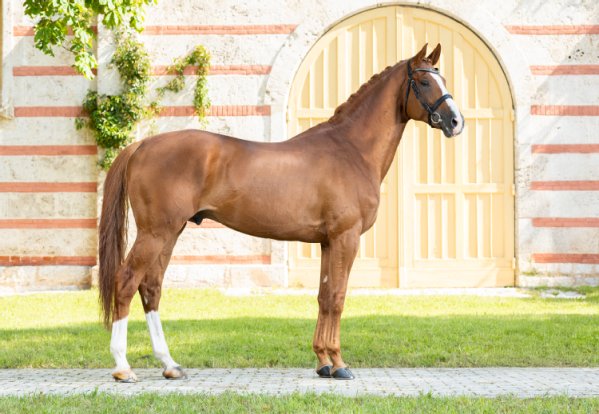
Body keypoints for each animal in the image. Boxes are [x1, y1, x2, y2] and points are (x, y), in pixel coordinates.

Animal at [98, 43, 464, 384]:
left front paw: (323, 362)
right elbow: (338, 297)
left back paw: (170, 364)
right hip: (156, 232)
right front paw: (340, 365)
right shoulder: (345, 238)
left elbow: (323, 296)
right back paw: (122, 368)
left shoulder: (327, 242)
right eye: (423, 81)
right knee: (126, 282)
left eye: (443, 79)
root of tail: (141, 145)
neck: (351, 150)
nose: (456, 122)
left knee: (151, 288)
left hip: (170, 232)